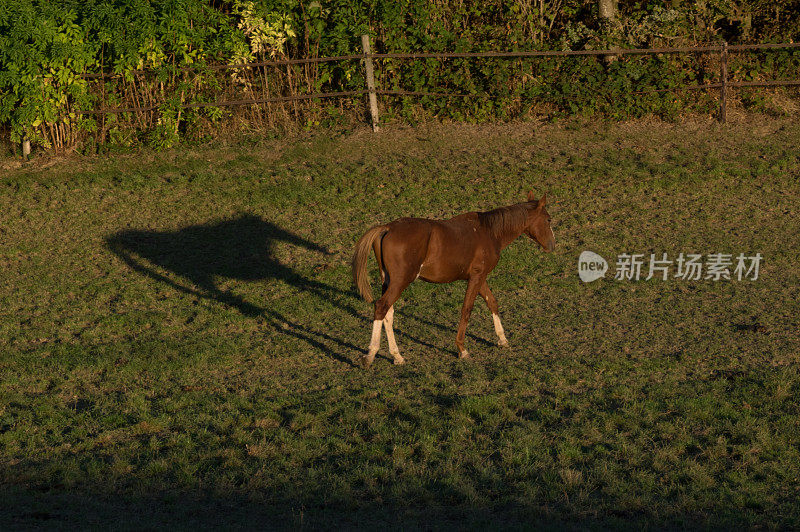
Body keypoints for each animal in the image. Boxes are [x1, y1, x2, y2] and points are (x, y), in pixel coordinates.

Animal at [354, 189, 552, 368]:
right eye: (549, 220)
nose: (552, 245)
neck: (488, 231)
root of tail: (387, 228)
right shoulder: (476, 277)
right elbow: (467, 309)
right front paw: (462, 349)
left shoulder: (479, 277)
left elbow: (492, 302)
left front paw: (502, 339)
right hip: (400, 281)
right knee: (381, 307)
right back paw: (370, 355)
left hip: (388, 281)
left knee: (388, 313)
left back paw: (397, 356)